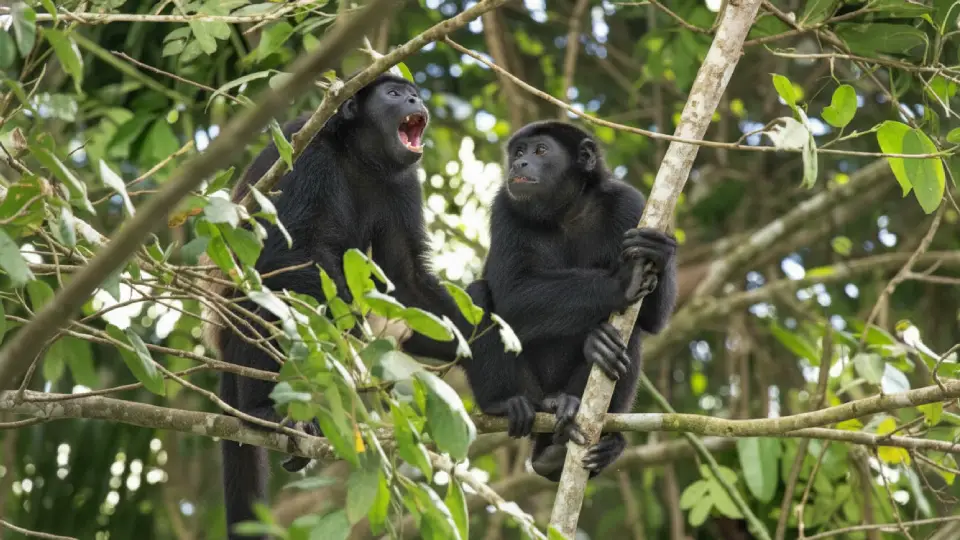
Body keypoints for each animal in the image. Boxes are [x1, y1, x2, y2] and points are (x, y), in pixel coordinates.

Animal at [199, 73, 463, 539]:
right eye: (394, 94)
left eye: (413, 94)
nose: (415, 100)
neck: (359, 157)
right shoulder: (306, 153)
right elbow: (281, 255)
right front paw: (357, 327)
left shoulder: (404, 184)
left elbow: (408, 281)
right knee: (270, 303)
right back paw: (259, 412)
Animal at [460, 120, 678, 481]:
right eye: (519, 152)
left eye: (541, 151)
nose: (519, 164)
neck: (567, 211)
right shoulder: (504, 207)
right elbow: (511, 294)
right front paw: (621, 282)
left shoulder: (630, 204)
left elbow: (652, 320)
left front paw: (659, 252)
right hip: (530, 388)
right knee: (478, 295)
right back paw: (509, 405)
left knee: (631, 334)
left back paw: (584, 423)